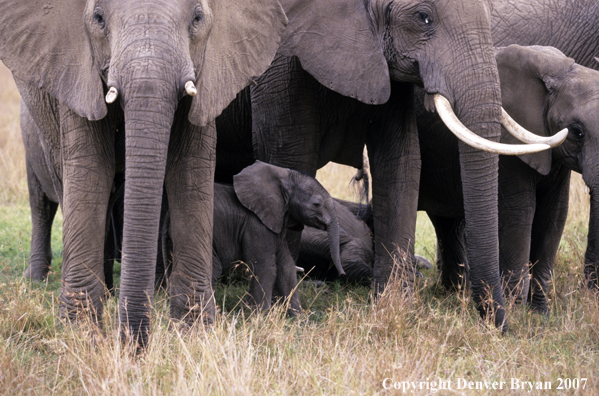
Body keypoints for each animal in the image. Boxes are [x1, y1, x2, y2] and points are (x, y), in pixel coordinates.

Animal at [0, 0, 288, 344]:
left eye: (197, 18)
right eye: (98, 18)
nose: (131, 344)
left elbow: (192, 170)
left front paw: (194, 332)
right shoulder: (75, 70)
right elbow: (89, 169)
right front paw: (79, 333)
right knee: (44, 200)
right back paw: (47, 282)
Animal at [162, 160, 344, 312]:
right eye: (316, 204)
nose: (341, 274)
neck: (281, 178)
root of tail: (168, 215)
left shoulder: (276, 222)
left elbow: (286, 267)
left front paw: (298, 320)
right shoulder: (256, 225)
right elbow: (266, 267)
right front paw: (259, 318)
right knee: (214, 269)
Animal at [218, 0, 552, 330]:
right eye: (423, 18)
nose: (502, 327)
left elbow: (400, 160)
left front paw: (392, 306)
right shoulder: (279, 68)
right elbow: (290, 156)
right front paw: (282, 309)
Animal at [418, 44, 599, 312]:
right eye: (577, 132)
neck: (561, 70)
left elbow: (554, 216)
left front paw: (539, 313)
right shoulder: (508, 150)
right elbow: (519, 215)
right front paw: (518, 313)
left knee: (446, 223)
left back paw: (455, 292)